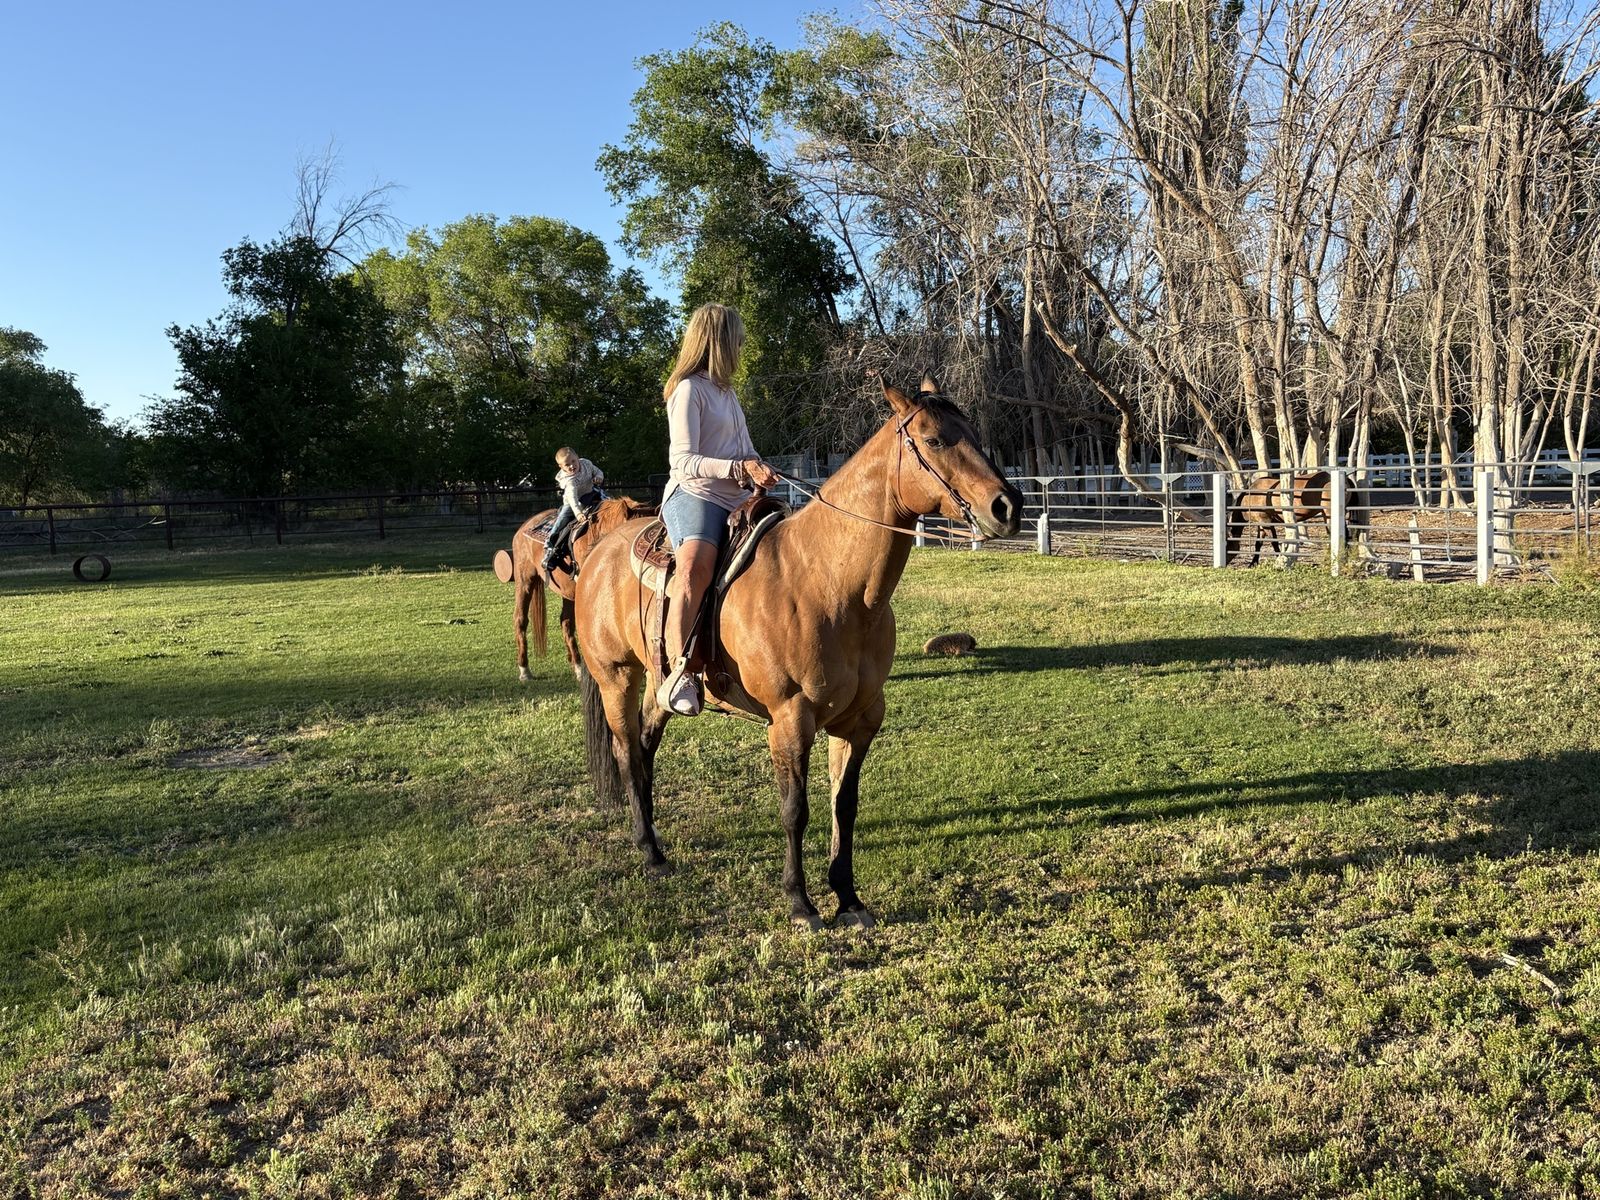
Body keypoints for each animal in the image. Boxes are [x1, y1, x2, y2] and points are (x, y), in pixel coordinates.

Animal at [494, 496, 654, 681]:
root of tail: (524, 527)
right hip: (525, 581)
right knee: (520, 619)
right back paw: (524, 669)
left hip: (568, 592)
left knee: (565, 623)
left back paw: (577, 666)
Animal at [572, 375, 1023, 931]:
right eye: (935, 439)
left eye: (975, 434)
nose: (1008, 507)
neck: (826, 582)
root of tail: (596, 555)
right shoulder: (790, 719)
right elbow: (795, 809)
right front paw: (800, 902)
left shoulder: (859, 720)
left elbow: (843, 805)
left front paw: (847, 897)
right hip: (617, 677)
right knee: (627, 752)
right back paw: (651, 854)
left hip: (659, 685)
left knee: (645, 746)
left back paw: (651, 839)